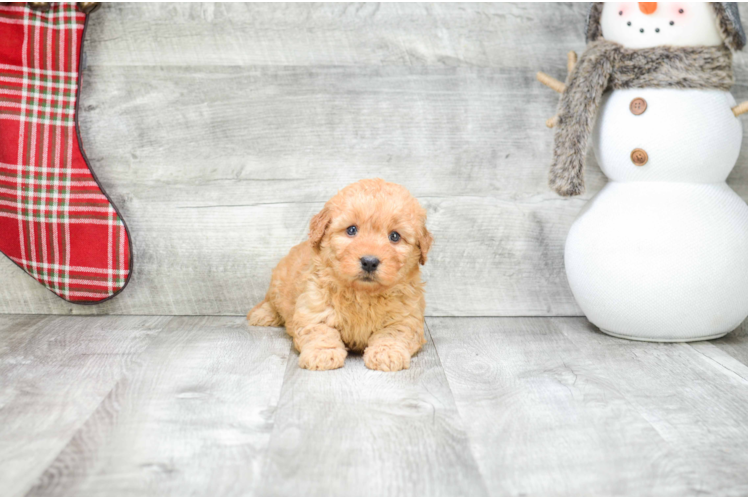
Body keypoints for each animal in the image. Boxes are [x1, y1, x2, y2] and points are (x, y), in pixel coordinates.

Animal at [248, 180, 432, 372]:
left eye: (395, 236)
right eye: (351, 230)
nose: (369, 262)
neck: (362, 294)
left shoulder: (405, 316)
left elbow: (393, 333)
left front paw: (387, 353)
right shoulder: (314, 306)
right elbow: (321, 331)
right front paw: (322, 353)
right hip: (278, 281)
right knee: (272, 302)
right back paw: (262, 314)